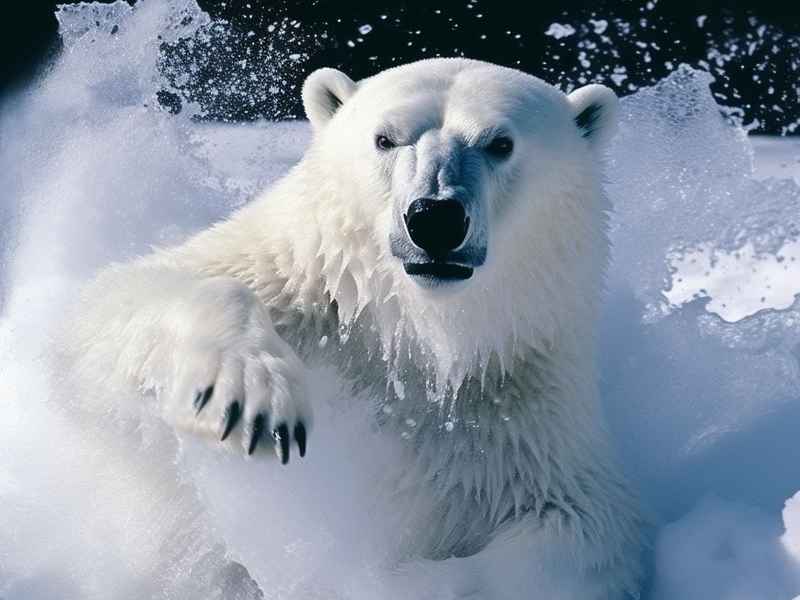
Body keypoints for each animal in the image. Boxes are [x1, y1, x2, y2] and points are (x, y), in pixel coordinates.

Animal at [64, 58, 643, 598]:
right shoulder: (298, 287)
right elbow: (98, 317)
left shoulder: (521, 408)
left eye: (501, 143)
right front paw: (250, 398)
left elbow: (587, 527)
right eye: (385, 139)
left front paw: (392, 581)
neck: (410, 336)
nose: (434, 217)